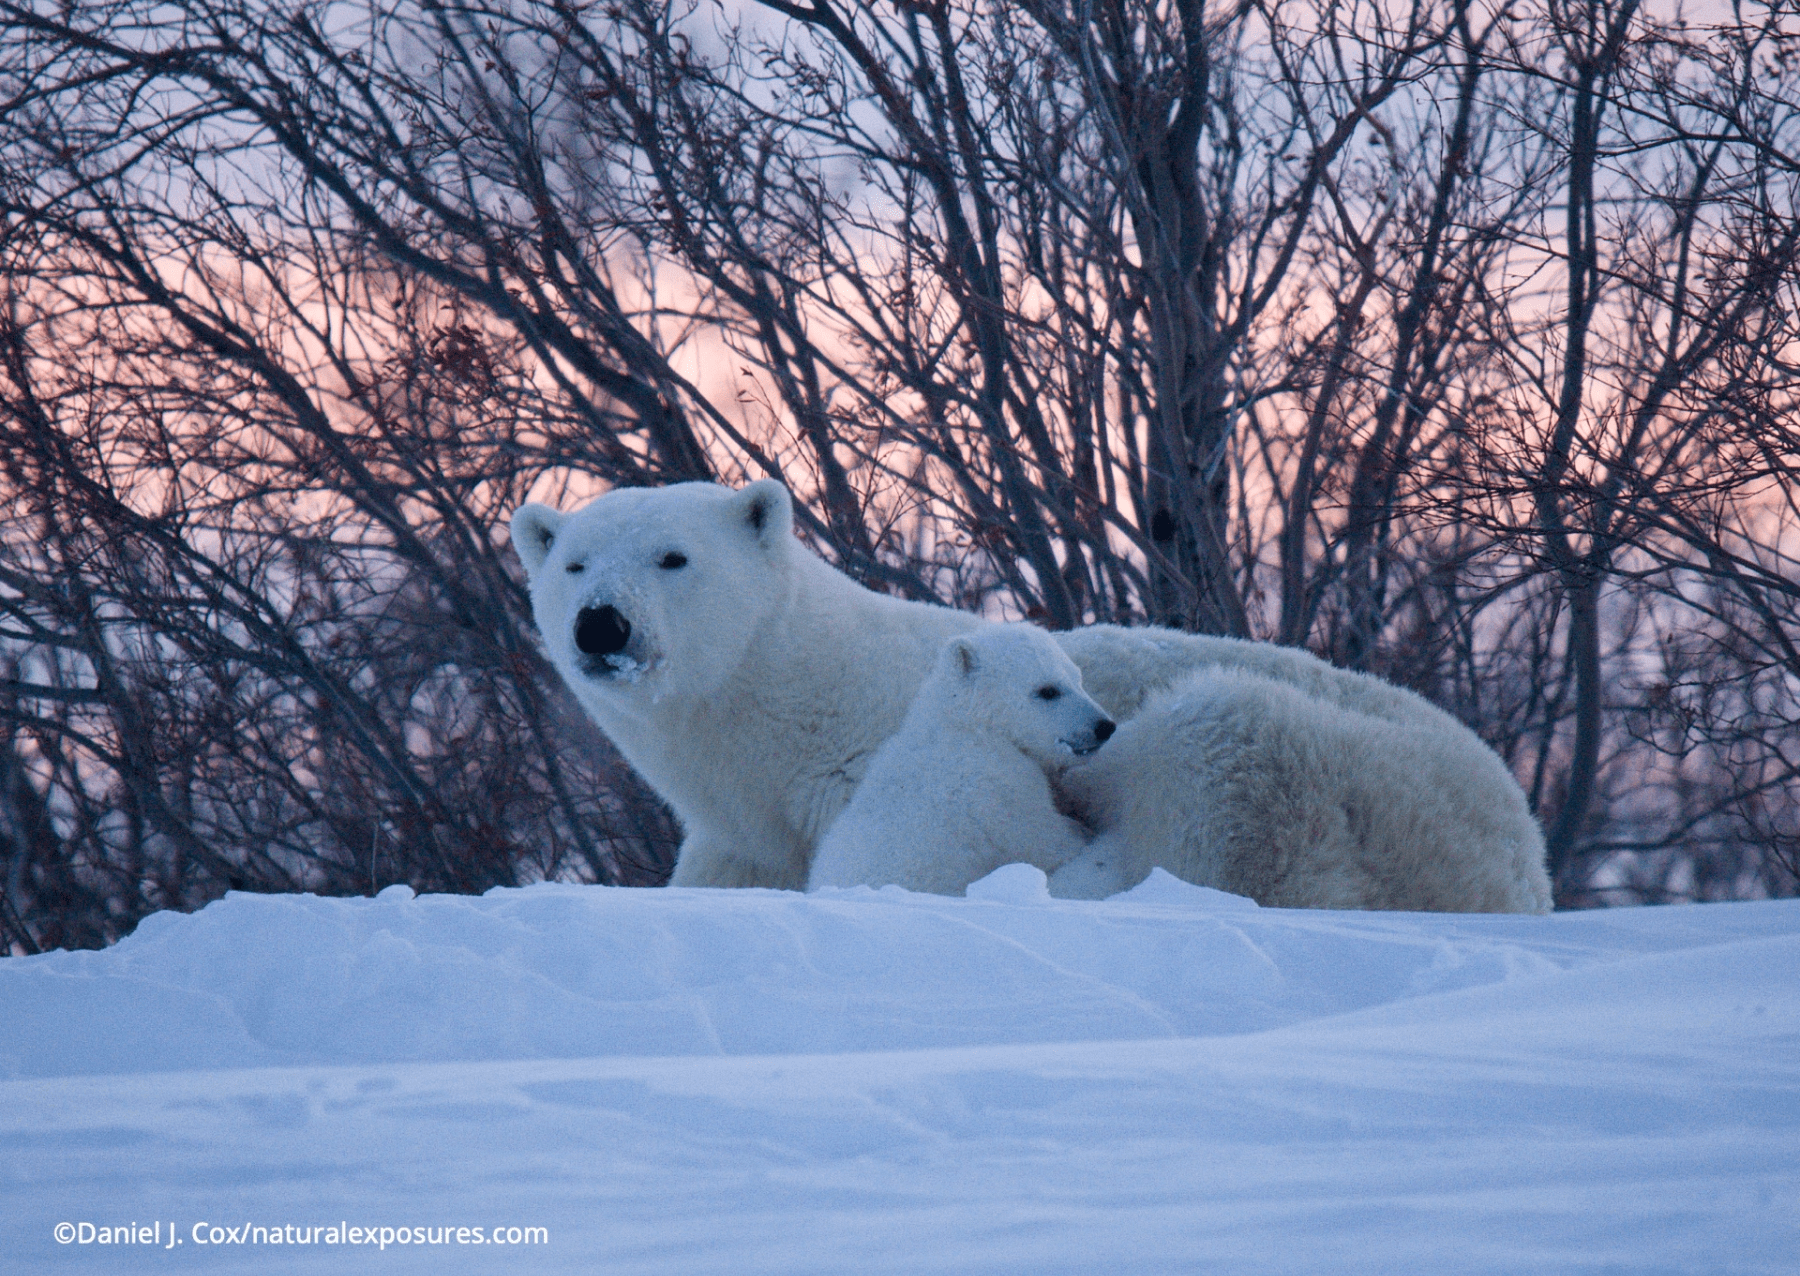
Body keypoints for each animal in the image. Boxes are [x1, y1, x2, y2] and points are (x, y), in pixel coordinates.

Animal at [808, 625, 1115, 895]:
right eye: (1048, 690)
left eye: (1078, 679)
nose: (1104, 726)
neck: (969, 727)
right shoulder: (992, 785)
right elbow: (1039, 838)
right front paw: (1085, 835)